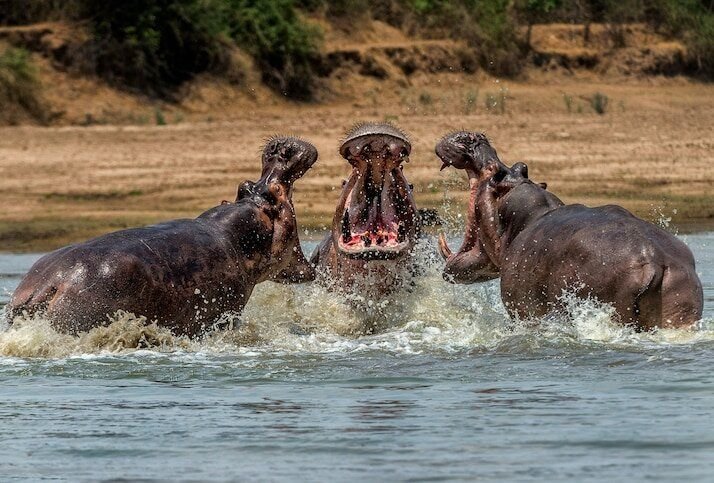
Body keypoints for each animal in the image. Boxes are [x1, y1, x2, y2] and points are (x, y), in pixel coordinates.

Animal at [434, 130, 700, 330]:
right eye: (522, 166)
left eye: (495, 173)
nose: (474, 137)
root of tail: (654, 260)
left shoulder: (522, 307)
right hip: (680, 309)